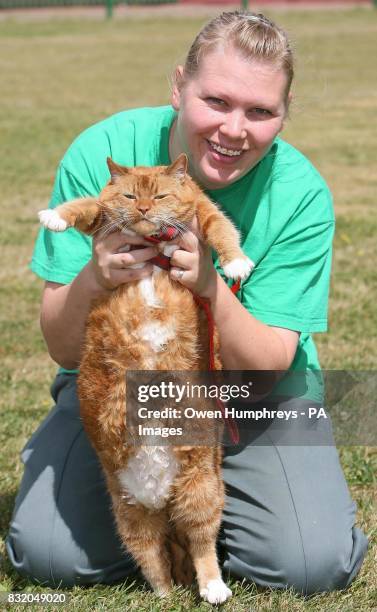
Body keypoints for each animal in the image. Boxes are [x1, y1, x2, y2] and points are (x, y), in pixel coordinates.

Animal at [39, 153, 253, 604]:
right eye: (129, 196)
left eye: (160, 196)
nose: (142, 210)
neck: (153, 247)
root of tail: (162, 500)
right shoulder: (102, 219)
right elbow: (84, 205)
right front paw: (55, 216)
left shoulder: (204, 215)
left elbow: (222, 229)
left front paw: (236, 261)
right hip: (130, 516)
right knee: (154, 561)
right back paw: (163, 595)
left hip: (201, 493)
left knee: (202, 545)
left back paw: (213, 588)